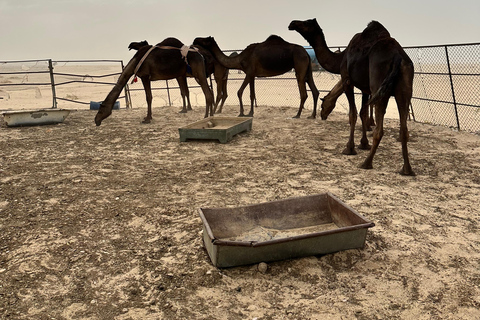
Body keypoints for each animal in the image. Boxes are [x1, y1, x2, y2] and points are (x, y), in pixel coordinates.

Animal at [288, 18, 416, 176]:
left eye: (306, 23)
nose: (292, 23)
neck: (341, 57)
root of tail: (398, 57)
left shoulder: (347, 80)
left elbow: (353, 114)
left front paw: (349, 148)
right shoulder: (366, 89)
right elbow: (363, 113)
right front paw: (363, 144)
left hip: (379, 86)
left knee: (380, 130)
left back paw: (367, 163)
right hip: (404, 91)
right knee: (404, 129)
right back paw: (407, 169)